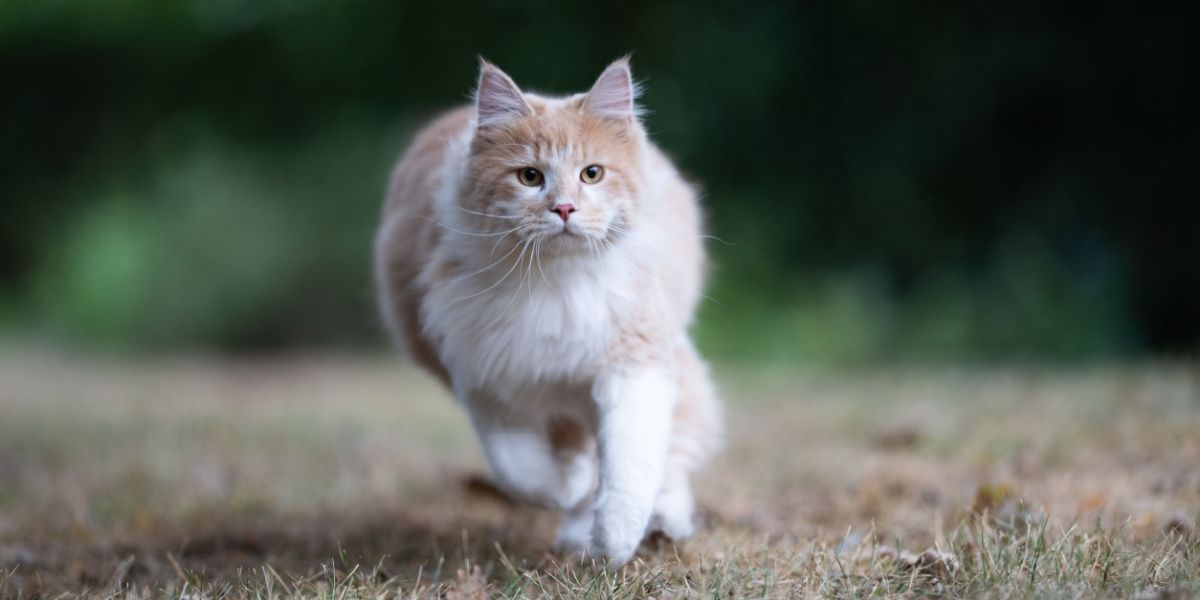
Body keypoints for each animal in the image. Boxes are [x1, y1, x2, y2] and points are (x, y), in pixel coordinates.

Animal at [372, 58, 720, 564]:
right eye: (530, 177)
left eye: (592, 174)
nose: (565, 208)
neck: (555, 281)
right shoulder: (485, 380)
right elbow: (523, 471)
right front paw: (570, 486)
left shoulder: (635, 362)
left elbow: (629, 462)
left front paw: (615, 539)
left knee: (670, 453)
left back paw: (657, 523)